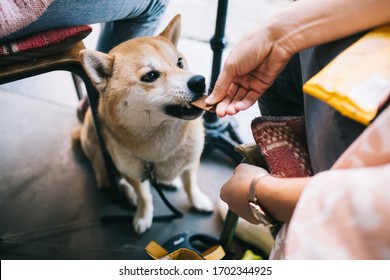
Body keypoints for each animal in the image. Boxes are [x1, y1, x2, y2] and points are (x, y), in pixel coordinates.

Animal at [73, 15, 213, 234]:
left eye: (179, 62)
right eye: (150, 76)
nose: (199, 81)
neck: (160, 149)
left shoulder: (191, 162)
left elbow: (191, 184)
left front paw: (197, 201)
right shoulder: (133, 171)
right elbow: (144, 196)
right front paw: (143, 216)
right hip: (100, 155)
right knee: (109, 178)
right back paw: (128, 193)